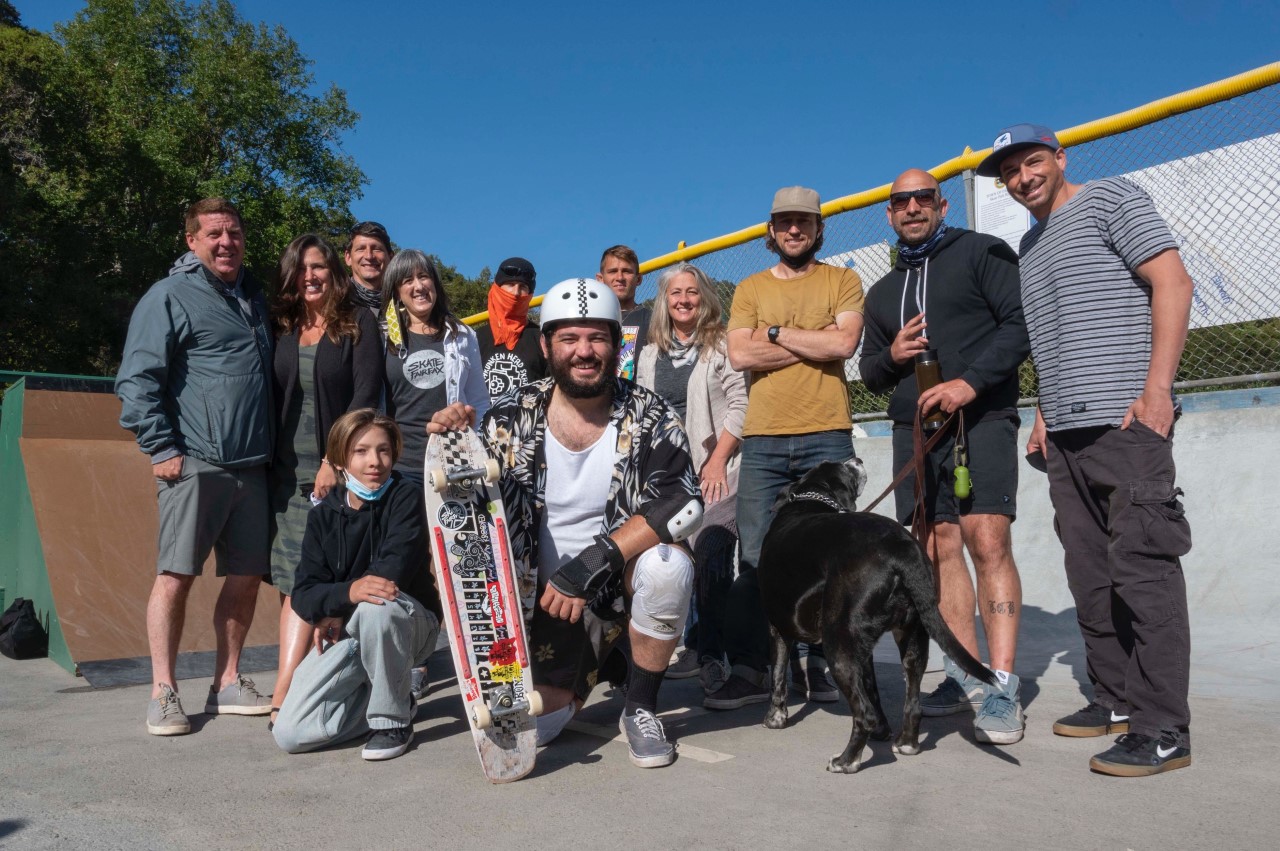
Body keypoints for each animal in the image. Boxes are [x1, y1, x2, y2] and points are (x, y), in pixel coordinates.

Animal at [752, 458, 993, 767]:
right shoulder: (864, 649)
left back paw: (846, 761)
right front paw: (882, 730)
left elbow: (778, 677)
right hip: (911, 638)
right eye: (845, 468)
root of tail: (902, 550)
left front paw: (775, 719)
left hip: (838, 645)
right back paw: (906, 744)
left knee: (862, 715)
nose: (857, 459)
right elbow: (873, 690)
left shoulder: (778, 628)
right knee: (912, 704)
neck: (808, 499)